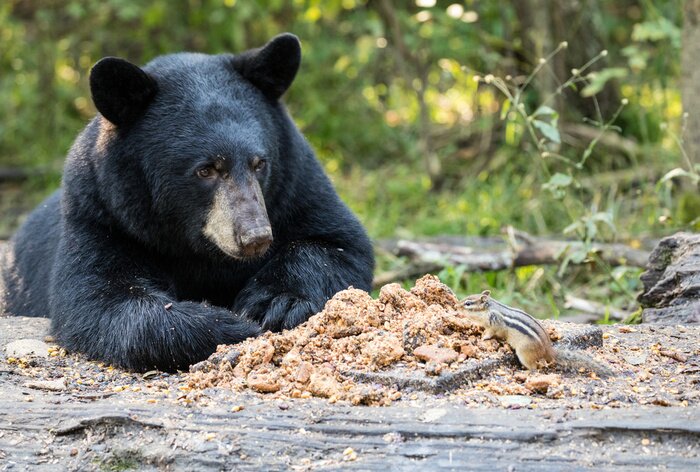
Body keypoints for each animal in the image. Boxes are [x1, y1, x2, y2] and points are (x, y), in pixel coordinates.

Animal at [0, 33, 374, 372]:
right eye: (205, 170)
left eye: (259, 163)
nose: (255, 237)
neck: (198, 250)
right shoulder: (102, 213)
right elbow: (99, 295)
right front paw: (227, 324)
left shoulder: (297, 184)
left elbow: (335, 244)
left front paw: (275, 303)